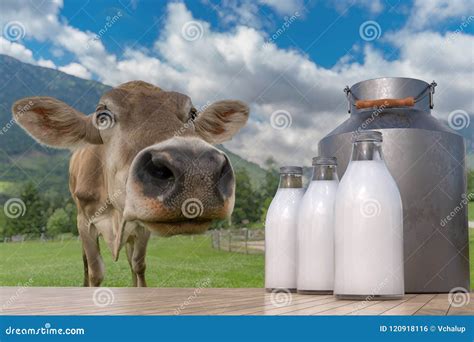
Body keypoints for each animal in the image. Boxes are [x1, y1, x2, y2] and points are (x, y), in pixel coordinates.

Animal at [12, 81, 248, 288]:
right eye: (103, 117)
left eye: (192, 114)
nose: (196, 171)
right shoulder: (84, 222)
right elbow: (96, 271)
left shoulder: (142, 227)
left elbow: (138, 264)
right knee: (86, 263)